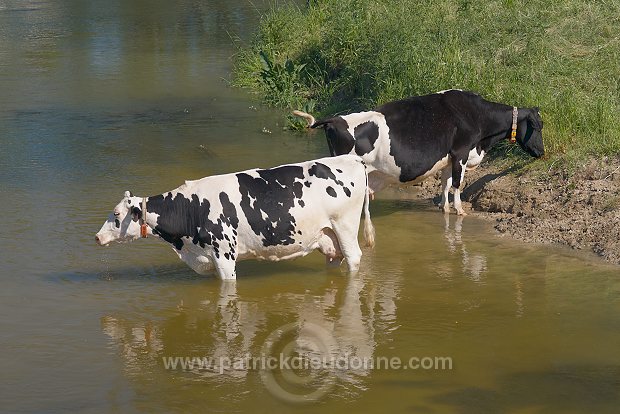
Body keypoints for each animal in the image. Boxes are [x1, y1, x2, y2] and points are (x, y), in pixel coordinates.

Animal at [92, 156, 372, 282]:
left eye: (116, 214)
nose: (97, 237)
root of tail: (351, 158)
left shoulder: (224, 255)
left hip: (345, 226)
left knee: (355, 257)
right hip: (328, 236)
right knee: (334, 258)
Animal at [294, 89, 544, 215]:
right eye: (538, 126)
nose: (542, 152)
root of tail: (334, 119)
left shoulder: (448, 158)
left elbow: (445, 183)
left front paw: (444, 207)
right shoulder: (461, 152)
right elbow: (457, 184)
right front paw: (459, 210)